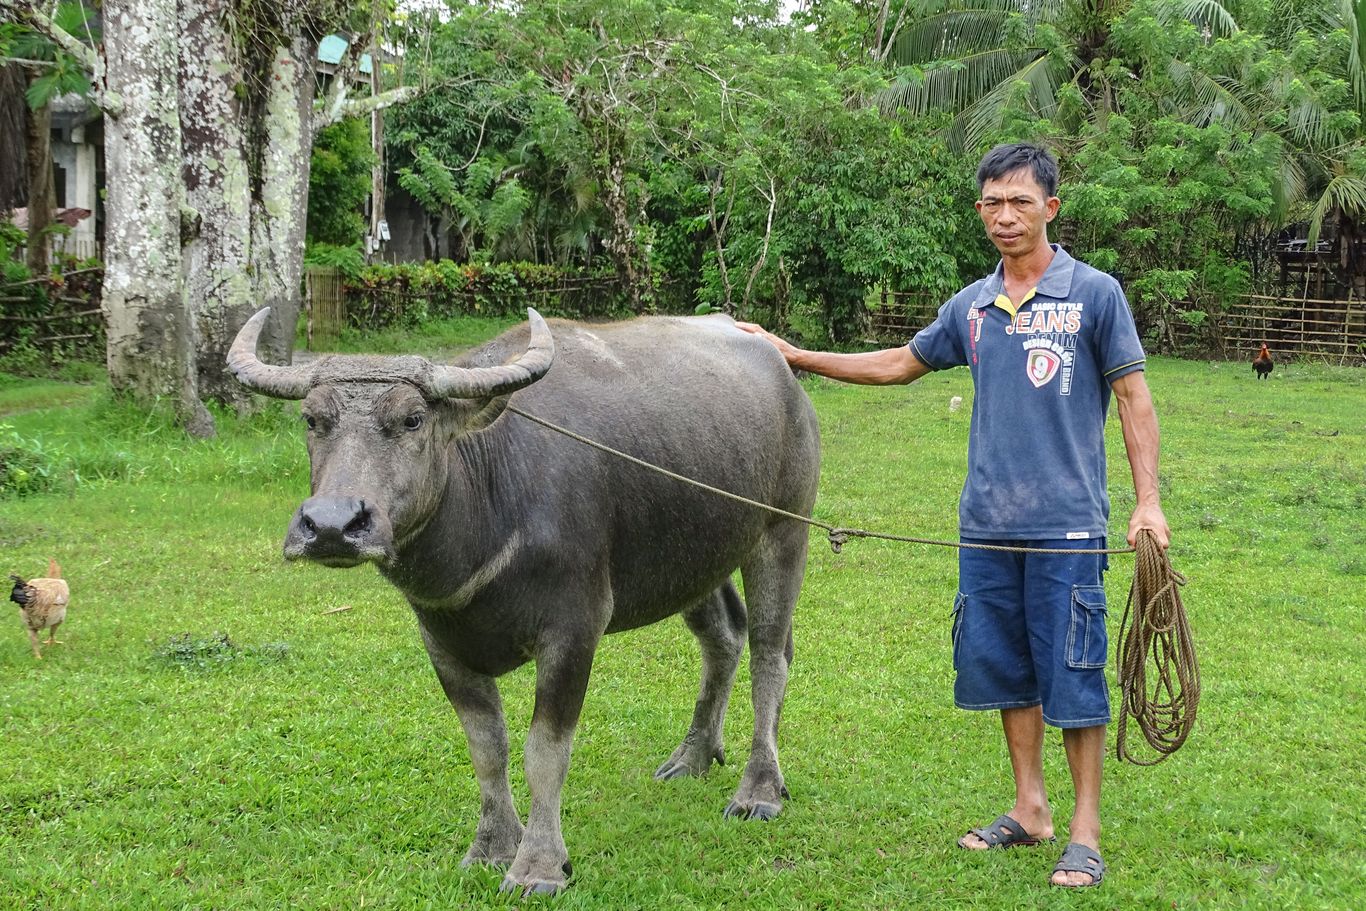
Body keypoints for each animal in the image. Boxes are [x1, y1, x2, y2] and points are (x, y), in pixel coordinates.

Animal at [228, 310, 814, 895]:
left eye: (413, 419)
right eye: (311, 419)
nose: (331, 525)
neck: (490, 502)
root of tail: (784, 373)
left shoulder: (573, 631)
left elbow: (545, 752)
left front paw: (539, 865)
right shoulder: (442, 643)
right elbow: (487, 749)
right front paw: (490, 847)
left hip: (784, 530)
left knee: (769, 654)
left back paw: (759, 789)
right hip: (697, 557)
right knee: (724, 638)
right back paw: (693, 756)